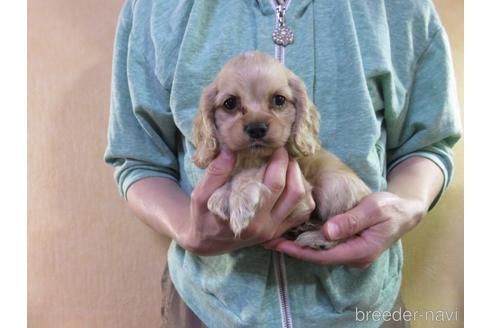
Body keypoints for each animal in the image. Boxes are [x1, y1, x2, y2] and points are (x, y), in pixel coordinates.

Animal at [192, 52, 368, 250]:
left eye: (279, 100)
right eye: (230, 103)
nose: (256, 128)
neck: (248, 158)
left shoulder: (302, 193)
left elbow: (251, 172)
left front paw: (237, 199)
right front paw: (224, 193)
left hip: (334, 185)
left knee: (341, 229)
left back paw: (316, 238)